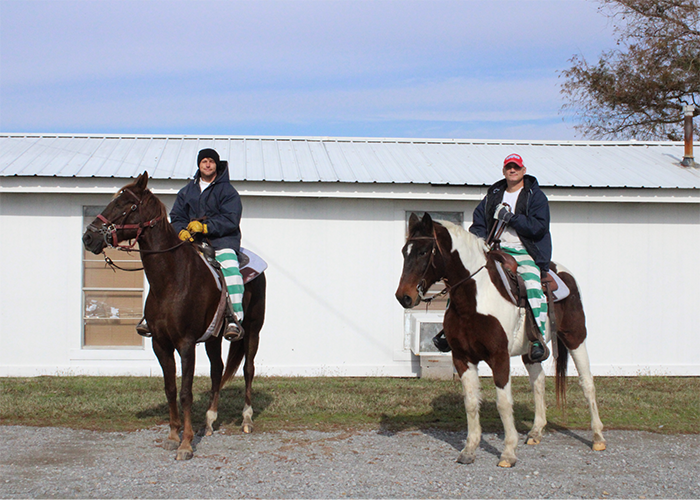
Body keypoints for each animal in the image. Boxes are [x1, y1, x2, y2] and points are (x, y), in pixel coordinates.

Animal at [82, 172, 266, 460]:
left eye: (127, 206)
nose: (89, 238)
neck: (172, 279)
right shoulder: (161, 344)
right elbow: (170, 390)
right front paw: (172, 436)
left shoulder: (186, 344)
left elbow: (186, 392)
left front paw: (186, 444)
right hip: (213, 338)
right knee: (217, 370)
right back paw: (209, 421)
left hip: (253, 330)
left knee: (248, 369)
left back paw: (246, 419)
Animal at [396, 214, 604, 468]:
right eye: (405, 251)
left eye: (424, 251)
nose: (404, 297)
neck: (475, 298)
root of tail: (561, 272)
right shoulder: (462, 358)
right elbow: (471, 402)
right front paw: (469, 450)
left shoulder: (499, 357)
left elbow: (503, 403)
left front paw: (508, 452)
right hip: (531, 350)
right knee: (538, 382)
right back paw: (536, 432)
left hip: (576, 338)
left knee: (587, 383)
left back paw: (598, 437)